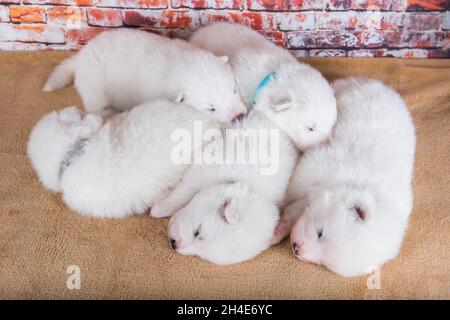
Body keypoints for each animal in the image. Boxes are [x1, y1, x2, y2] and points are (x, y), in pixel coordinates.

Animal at [43, 28, 246, 122]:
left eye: (234, 90)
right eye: (211, 108)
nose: (239, 116)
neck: (181, 63)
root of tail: (81, 56)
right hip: (95, 84)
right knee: (95, 106)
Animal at [272, 77, 416, 276]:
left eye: (324, 263)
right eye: (320, 232)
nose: (296, 249)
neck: (352, 184)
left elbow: (294, 210)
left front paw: (280, 228)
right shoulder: (317, 162)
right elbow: (293, 189)